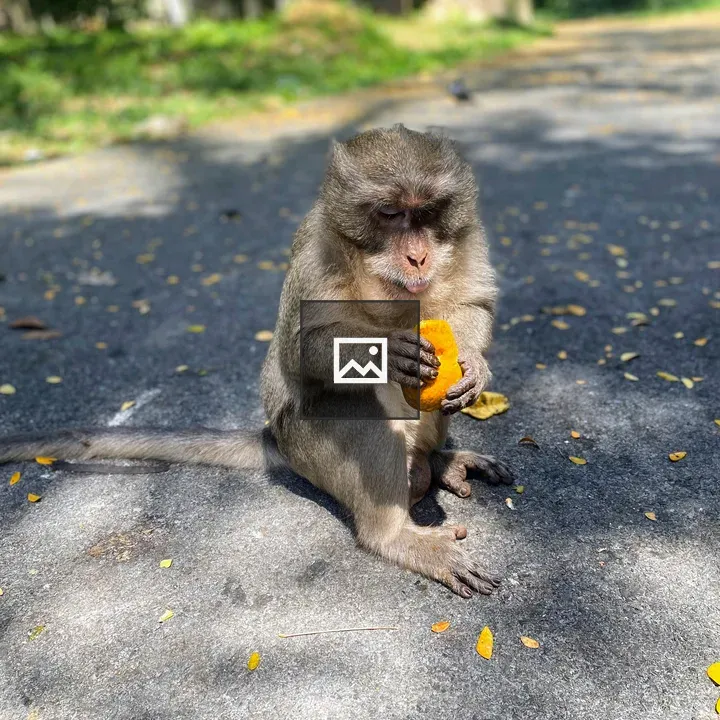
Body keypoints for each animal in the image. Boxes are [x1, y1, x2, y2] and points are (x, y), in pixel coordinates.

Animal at [0, 124, 514, 598]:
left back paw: (440, 460)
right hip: (305, 444)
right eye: (390, 213)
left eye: (426, 213)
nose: (418, 256)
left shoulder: (467, 234)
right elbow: (300, 349)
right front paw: (388, 351)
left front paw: (474, 365)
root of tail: (275, 440)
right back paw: (393, 536)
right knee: (355, 407)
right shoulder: (317, 255)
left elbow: (472, 304)